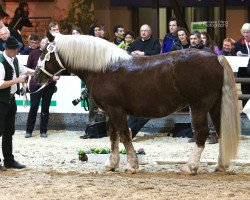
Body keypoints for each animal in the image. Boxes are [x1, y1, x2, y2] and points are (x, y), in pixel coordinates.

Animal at [33, 30, 240, 173]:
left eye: (44, 52)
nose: (35, 78)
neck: (103, 68)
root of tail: (216, 58)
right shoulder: (111, 111)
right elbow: (113, 136)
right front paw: (111, 164)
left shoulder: (116, 110)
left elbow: (125, 135)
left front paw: (132, 165)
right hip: (215, 106)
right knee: (220, 131)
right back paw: (221, 166)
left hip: (199, 106)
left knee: (202, 133)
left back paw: (190, 167)